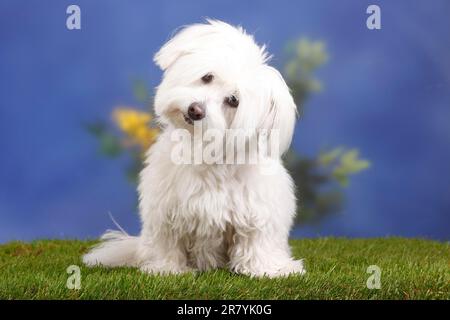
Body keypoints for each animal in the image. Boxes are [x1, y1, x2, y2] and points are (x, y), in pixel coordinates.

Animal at [82, 19, 304, 278]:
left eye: (233, 101)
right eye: (207, 77)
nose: (195, 110)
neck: (205, 151)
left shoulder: (260, 210)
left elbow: (257, 240)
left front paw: (268, 269)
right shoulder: (165, 209)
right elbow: (167, 241)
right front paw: (166, 268)